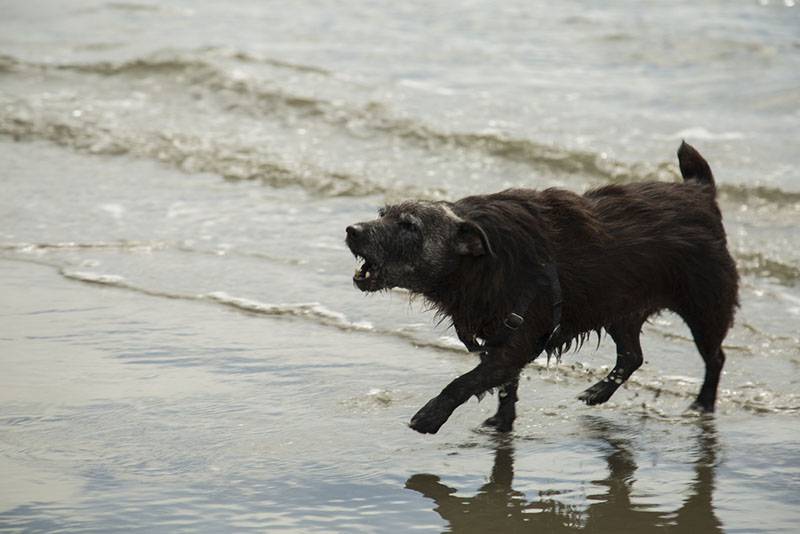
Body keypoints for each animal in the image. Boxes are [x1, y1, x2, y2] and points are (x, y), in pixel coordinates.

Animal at [344, 142, 736, 436]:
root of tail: (701, 193)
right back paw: (598, 392)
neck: (482, 264)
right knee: (631, 356)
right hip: (618, 307)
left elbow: (466, 381)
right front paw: (501, 422)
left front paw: (430, 416)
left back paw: (702, 403)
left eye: (409, 226)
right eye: (382, 213)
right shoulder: (502, 339)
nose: (351, 230)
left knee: (714, 357)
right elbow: (505, 385)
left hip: (705, 306)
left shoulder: (519, 336)